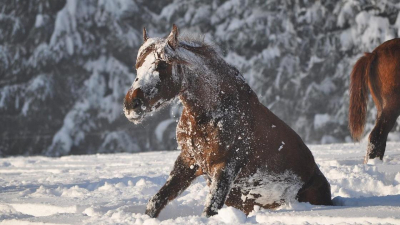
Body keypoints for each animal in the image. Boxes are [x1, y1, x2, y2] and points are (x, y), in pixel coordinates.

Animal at [124, 25, 332, 218]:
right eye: (137, 66)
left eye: (162, 65)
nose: (131, 105)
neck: (210, 115)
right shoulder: (189, 161)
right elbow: (156, 201)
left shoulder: (225, 167)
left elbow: (210, 209)